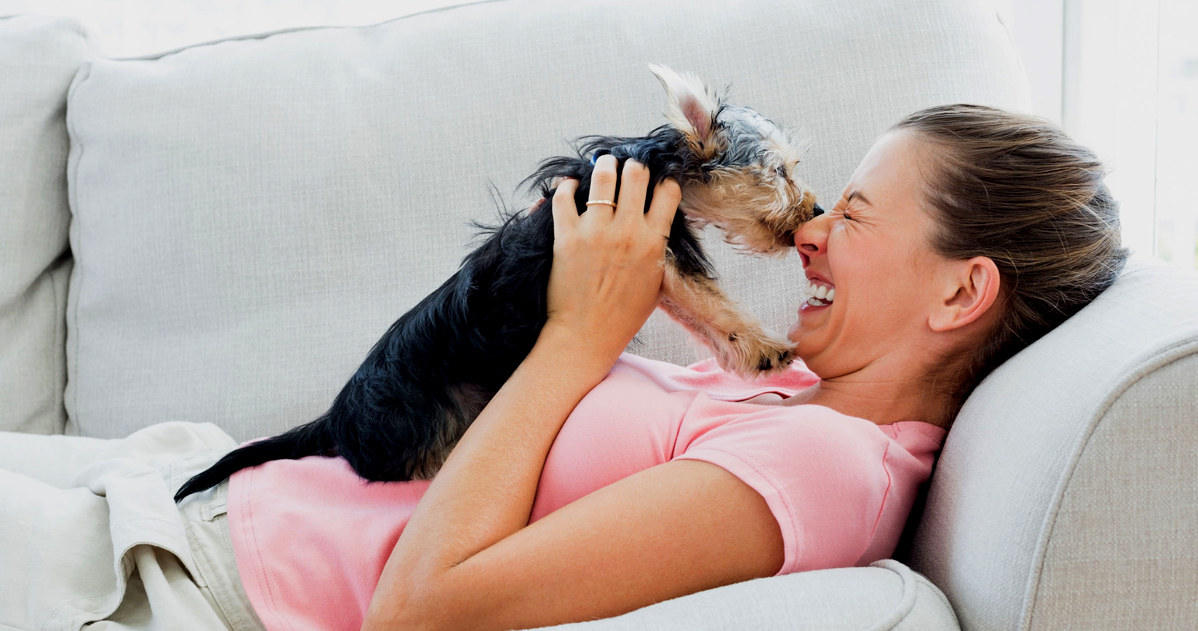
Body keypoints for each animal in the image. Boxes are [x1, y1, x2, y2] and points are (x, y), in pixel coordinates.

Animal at [173, 66, 819, 500]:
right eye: (779, 172)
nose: (814, 209)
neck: (653, 164)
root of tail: (334, 421)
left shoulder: (657, 265)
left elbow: (700, 313)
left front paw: (748, 357)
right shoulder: (660, 255)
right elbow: (710, 303)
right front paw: (767, 349)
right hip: (429, 424)